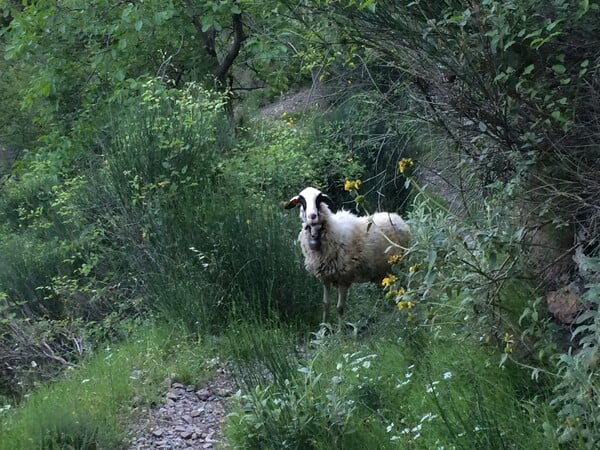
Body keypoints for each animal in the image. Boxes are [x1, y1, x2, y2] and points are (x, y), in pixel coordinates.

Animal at [284, 186, 408, 326]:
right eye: (302, 201)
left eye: (319, 199)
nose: (312, 216)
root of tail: (397, 217)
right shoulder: (325, 278)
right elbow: (325, 304)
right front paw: (324, 327)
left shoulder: (344, 278)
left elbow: (340, 308)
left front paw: (339, 330)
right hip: (382, 270)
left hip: (399, 264)